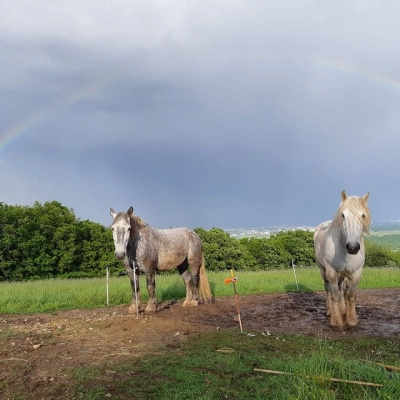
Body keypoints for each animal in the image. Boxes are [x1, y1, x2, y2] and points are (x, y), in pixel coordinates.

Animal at [314, 191, 370, 328]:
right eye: (343, 215)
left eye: (363, 215)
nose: (353, 247)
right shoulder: (332, 271)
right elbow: (334, 294)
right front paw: (336, 320)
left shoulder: (356, 273)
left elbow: (350, 294)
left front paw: (351, 319)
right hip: (323, 270)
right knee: (328, 289)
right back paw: (329, 311)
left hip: (342, 275)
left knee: (341, 289)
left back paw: (342, 309)